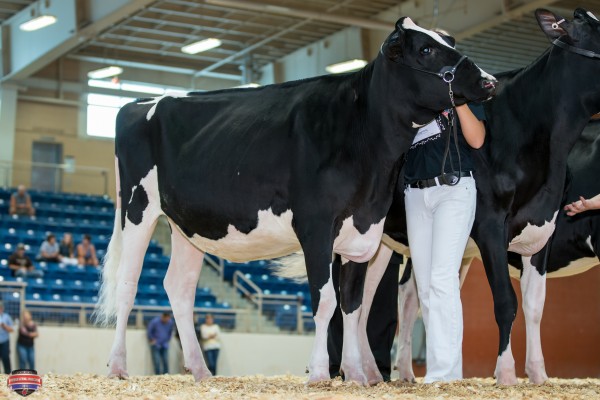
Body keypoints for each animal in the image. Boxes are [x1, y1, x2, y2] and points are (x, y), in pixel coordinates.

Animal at [95, 16, 496, 384]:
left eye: (450, 40)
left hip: (187, 226)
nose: (488, 81)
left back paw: (201, 370)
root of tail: (143, 100)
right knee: (128, 285)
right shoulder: (315, 228)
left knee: (179, 287)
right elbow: (325, 301)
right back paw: (117, 367)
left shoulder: (363, 231)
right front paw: (319, 372)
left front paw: (355, 375)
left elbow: (352, 305)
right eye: (425, 50)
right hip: (137, 209)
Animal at [326, 7, 600, 384]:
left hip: (381, 242)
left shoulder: (543, 226)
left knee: (376, 301)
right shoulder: (490, 226)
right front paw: (506, 374)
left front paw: (539, 375)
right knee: (350, 300)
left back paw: (384, 373)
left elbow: (534, 306)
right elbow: (506, 302)